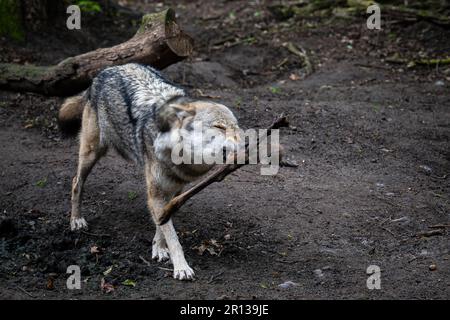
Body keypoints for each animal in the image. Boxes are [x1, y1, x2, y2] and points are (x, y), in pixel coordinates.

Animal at [61, 63, 241, 280]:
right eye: (219, 126)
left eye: (237, 129)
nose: (245, 144)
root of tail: (106, 70)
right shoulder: (156, 192)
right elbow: (172, 236)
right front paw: (181, 267)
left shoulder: (176, 190)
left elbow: (162, 223)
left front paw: (159, 248)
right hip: (91, 153)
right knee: (76, 182)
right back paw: (76, 220)